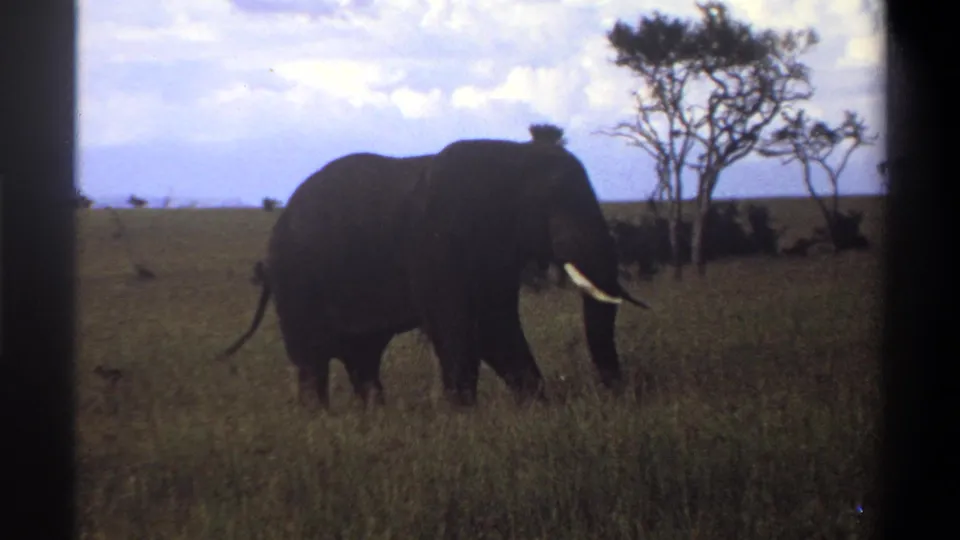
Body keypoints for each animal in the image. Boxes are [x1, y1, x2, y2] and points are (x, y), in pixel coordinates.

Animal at [218, 139, 649, 409]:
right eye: (553, 204)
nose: (618, 394)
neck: (508, 156)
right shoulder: (435, 244)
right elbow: (458, 327)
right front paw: (463, 416)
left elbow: (495, 328)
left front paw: (536, 408)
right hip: (296, 283)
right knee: (312, 360)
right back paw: (320, 420)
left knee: (362, 358)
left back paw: (373, 417)